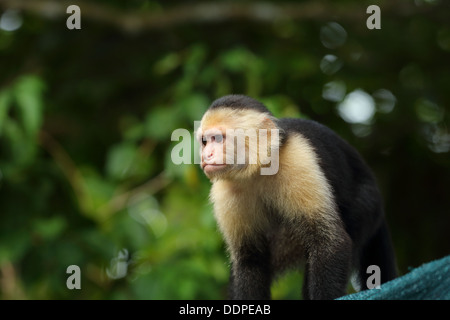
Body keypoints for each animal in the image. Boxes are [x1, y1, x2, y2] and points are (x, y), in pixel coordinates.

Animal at [197, 94, 398, 298]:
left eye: (218, 139)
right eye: (205, 142)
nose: (206, 155)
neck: (257, 169)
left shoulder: (297, 159)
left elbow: (330, 243)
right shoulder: (224, 191)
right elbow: (250, 259)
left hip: (366, 204)